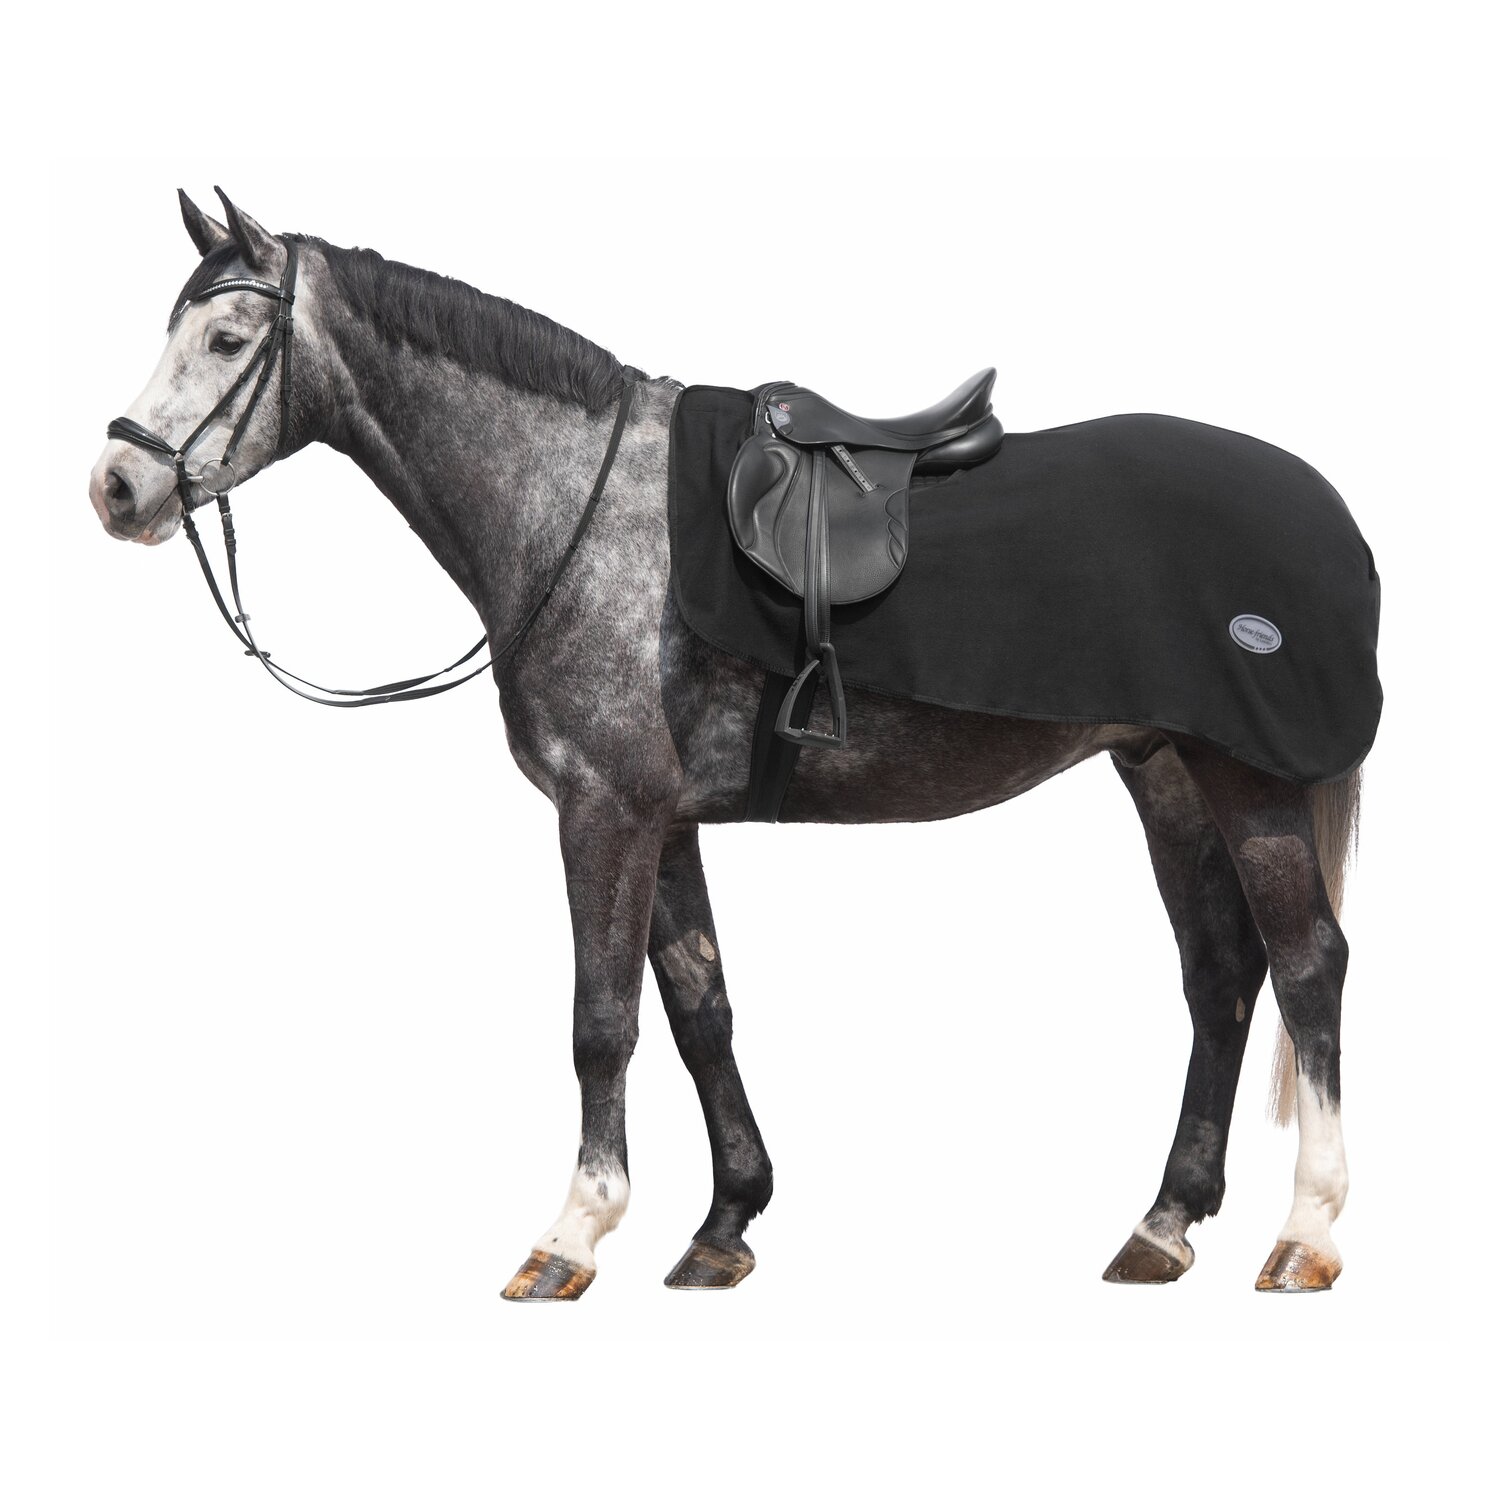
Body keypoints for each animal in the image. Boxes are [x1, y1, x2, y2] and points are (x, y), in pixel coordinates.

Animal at [88, 188, 1370, 1299]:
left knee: (1309, 966)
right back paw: (1164, 1223)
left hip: (1246, 782)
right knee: (1220, 971)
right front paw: (724, 1224)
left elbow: (601, 1023)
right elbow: (701, 1012)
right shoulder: (665, 820)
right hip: (1166, 773)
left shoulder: (603, 810)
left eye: (229, 335)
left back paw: (1305, 1233)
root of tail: (1327, 512)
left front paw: (572, 1234)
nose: (115, 485)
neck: (581, 506)